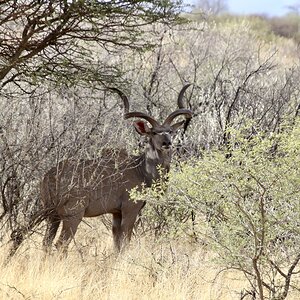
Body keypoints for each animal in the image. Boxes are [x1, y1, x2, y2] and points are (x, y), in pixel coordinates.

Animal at [40, 84, 192, 251]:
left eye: (170, 131)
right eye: (154, 132)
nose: (167, 143)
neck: (140, 170)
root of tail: (49, 176)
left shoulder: (116, 214)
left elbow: (117, 244)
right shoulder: (130, 209)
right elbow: (125, 242)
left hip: (52, 215)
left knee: (46, 242)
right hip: (73, 215)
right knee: (61, 244)